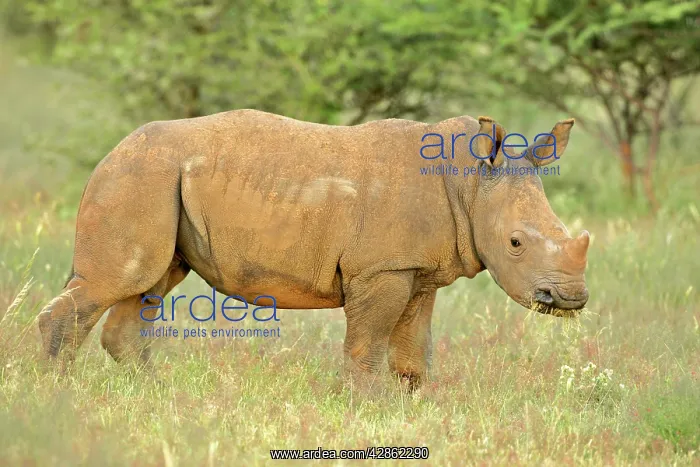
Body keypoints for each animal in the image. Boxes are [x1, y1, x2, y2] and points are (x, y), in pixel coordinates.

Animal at [37, 110, 589, 387]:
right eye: (515, 243)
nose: (571, 299)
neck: (470, 184)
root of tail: (112, 153)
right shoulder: (380, 270)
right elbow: (368, 343)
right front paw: (367, 409)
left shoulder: (416, 269)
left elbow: (413, 348)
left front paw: (412, 407)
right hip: (140, 176)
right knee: (121, 280)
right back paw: (58, 394)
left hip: (155, 180)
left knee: (149, 283)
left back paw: (154, 392)